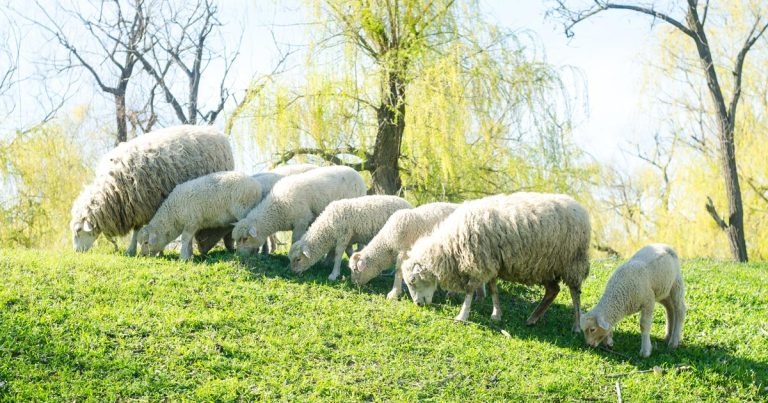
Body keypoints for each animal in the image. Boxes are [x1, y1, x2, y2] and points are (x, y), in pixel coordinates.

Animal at [69, 125, 234, 256]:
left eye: (78, 231)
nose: (76, 251)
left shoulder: (144, 205)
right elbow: (138, 229)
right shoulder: (136, 207)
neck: (112, 189)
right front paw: (134, 250)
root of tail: (215, 131)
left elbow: (139, 230)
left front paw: (139, 250)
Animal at [401, 192, 591, 330]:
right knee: (553, 290)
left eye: (413, 280)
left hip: (573, 262)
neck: (450, 246)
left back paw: (576, 325)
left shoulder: (478, 263)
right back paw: (533, 318)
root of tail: (579, 207)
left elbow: (470, 290)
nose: (418, 304)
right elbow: (493, 289)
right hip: (545, 266)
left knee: (575, 293)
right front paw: (496, 314)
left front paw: (462, 316)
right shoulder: (490, 263)